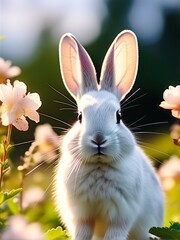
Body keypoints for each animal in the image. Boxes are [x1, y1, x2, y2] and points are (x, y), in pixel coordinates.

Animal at [54, 30, 164, 240]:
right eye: (80, 117)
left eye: (118, 116)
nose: (98, 139)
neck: (99, 165)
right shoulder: (82, 217)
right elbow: (81, 233)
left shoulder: (120, 216)